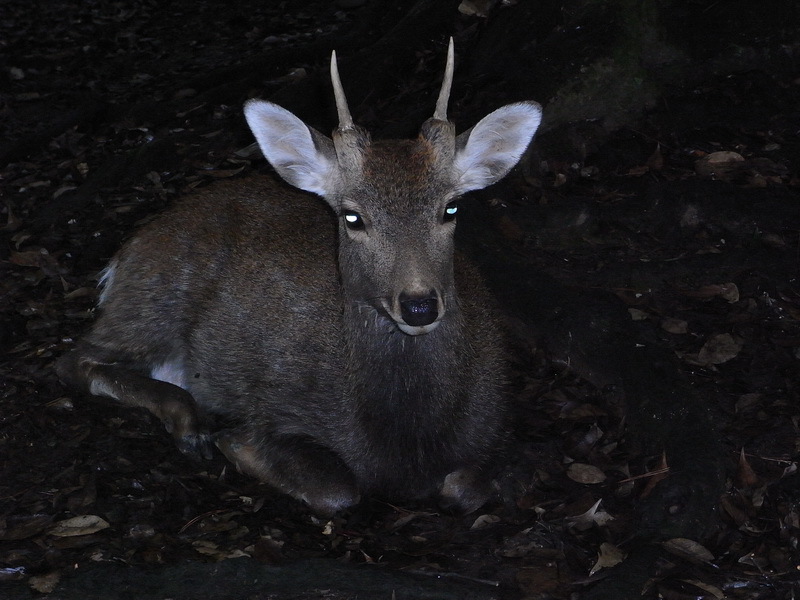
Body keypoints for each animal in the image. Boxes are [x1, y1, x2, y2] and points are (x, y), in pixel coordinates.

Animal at [56, 39, 544, 512]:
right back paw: (189, 423)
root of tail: (125, 253)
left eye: (451, 208)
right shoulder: (278, 409)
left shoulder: (495, 425)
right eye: (352, 216)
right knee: (79, 358)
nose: (419, 305)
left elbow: (467, 488)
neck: (404, 444)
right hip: (153, 298)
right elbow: (336, 490)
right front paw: (230, 443)